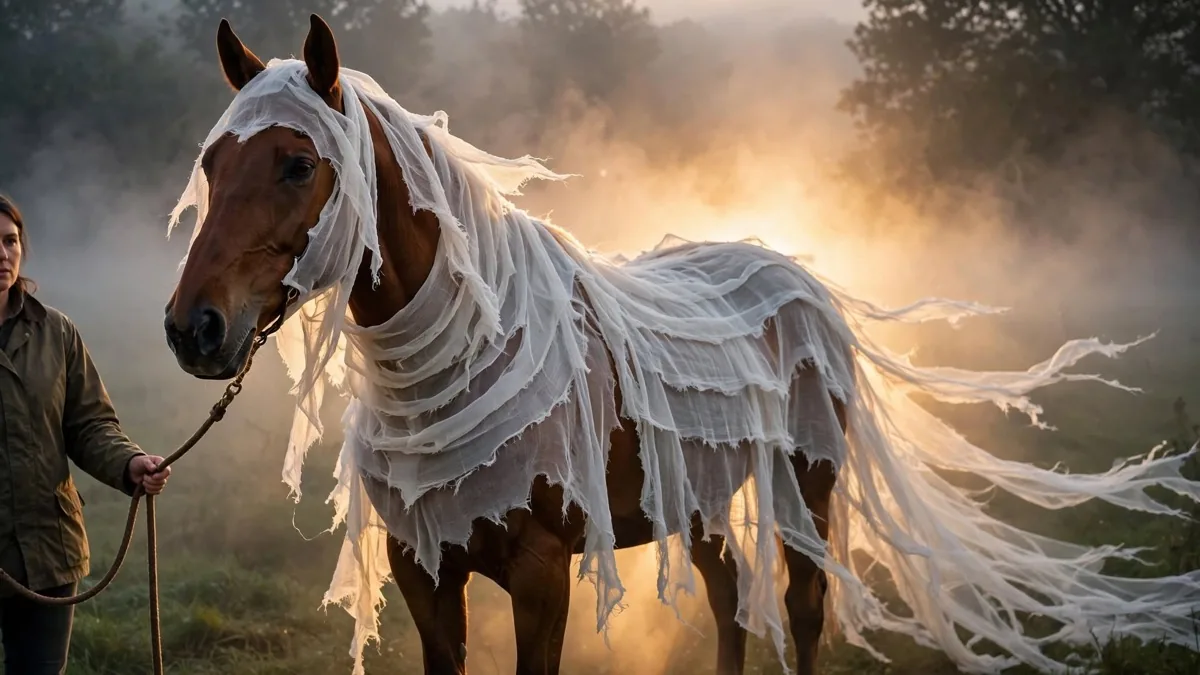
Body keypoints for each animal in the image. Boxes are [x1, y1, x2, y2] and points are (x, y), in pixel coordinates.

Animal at [163, 13, 1200, 675]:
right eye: (211, 162)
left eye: (298, 164)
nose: (193, 328)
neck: (460, 365)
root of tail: (794, 272)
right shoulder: (426, 571)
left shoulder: (541, 576)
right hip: (698, 494)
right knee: (730, 595)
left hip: (806, 481)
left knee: (800, 609)